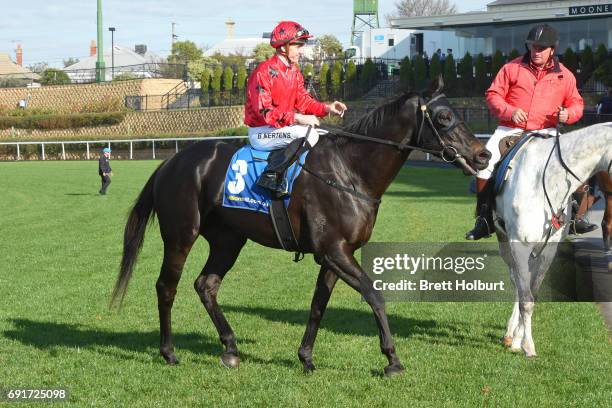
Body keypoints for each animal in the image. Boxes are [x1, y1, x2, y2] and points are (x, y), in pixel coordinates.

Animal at [111, 77, 492, 376]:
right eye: (444, 117)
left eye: (456, 113)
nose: (483, 155)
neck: (349, 171)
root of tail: (170, 163)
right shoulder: (335, 251)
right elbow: (374, 295)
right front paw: (392, 359)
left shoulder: (335, 255)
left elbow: (317, 306)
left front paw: (306, 357)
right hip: (180, 236)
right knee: (166, 287)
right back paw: (169, 352)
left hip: (228, 240)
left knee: (206, 285)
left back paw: (230, 347)